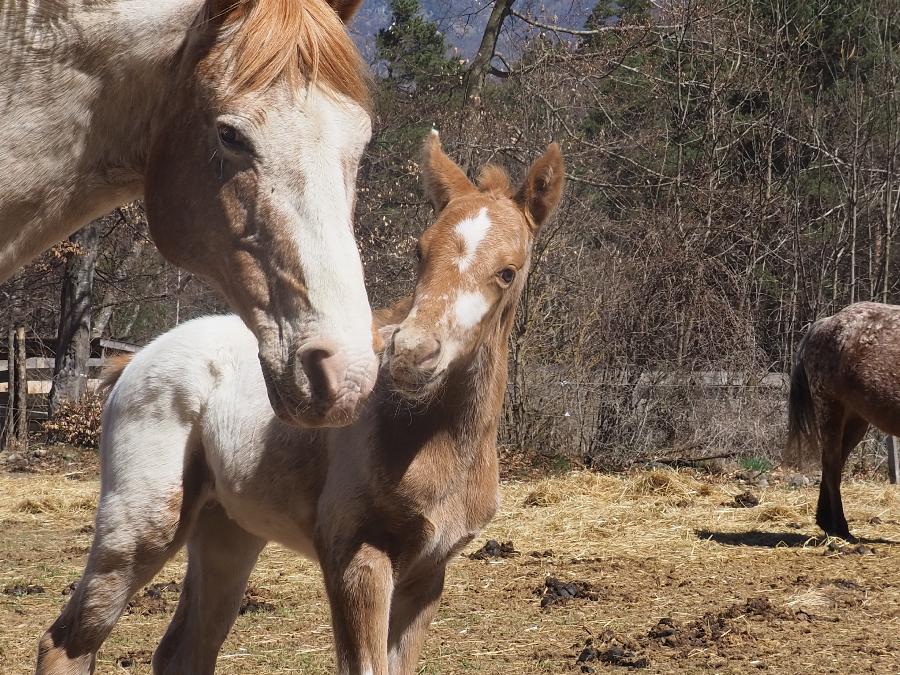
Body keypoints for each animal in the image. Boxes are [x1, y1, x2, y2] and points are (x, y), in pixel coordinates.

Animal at [35, 132, 565, 674]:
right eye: (421, 252)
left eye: (507, 272)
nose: (411, 355)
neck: (430, 438)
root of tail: (136, 359)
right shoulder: (354, 553)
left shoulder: (427, 573)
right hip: (141, 523)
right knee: (66, 643)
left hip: (227, 531)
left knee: (184, 651)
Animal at [787, 301, 900, 541]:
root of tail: (822, 324)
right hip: (830, 410)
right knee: (831, 466)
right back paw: (841, 528)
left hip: (854, 420)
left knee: (834, 463)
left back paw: (827, 522)